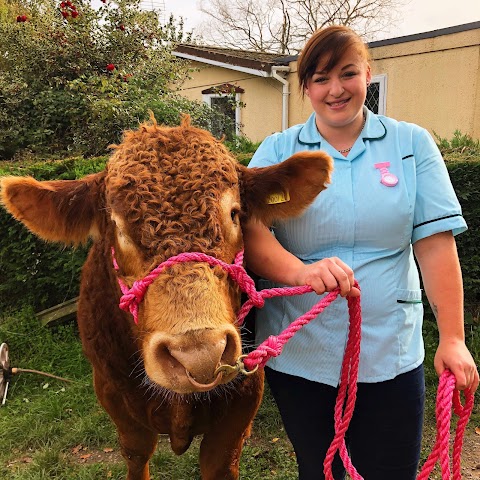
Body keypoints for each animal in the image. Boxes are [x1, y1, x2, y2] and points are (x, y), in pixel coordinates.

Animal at [0, 117, 330, 480]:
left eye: (234, 214)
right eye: (117, 227)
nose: (199, 355)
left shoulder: (242, 400)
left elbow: (219, 461)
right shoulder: (114, 397)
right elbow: (136, 453)